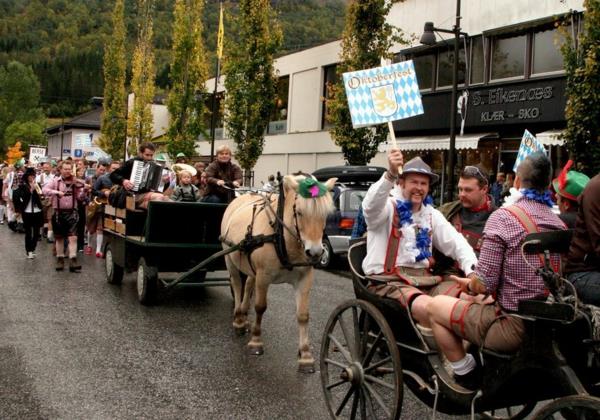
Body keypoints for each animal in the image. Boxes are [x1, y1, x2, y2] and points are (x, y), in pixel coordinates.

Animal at [221, 176, 338, 372]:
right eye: (299, 212)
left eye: (325, 214)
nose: (315, 253)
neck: (281, 236)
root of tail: (242, 196)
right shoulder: (263, 276)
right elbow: (260, 307)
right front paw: (256, 341)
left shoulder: (304, 278)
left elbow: (303, 315)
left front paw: (305, 354)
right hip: (229, 259)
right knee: (237, 285)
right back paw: (238, 319)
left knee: (248, 284)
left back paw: (243, 314)